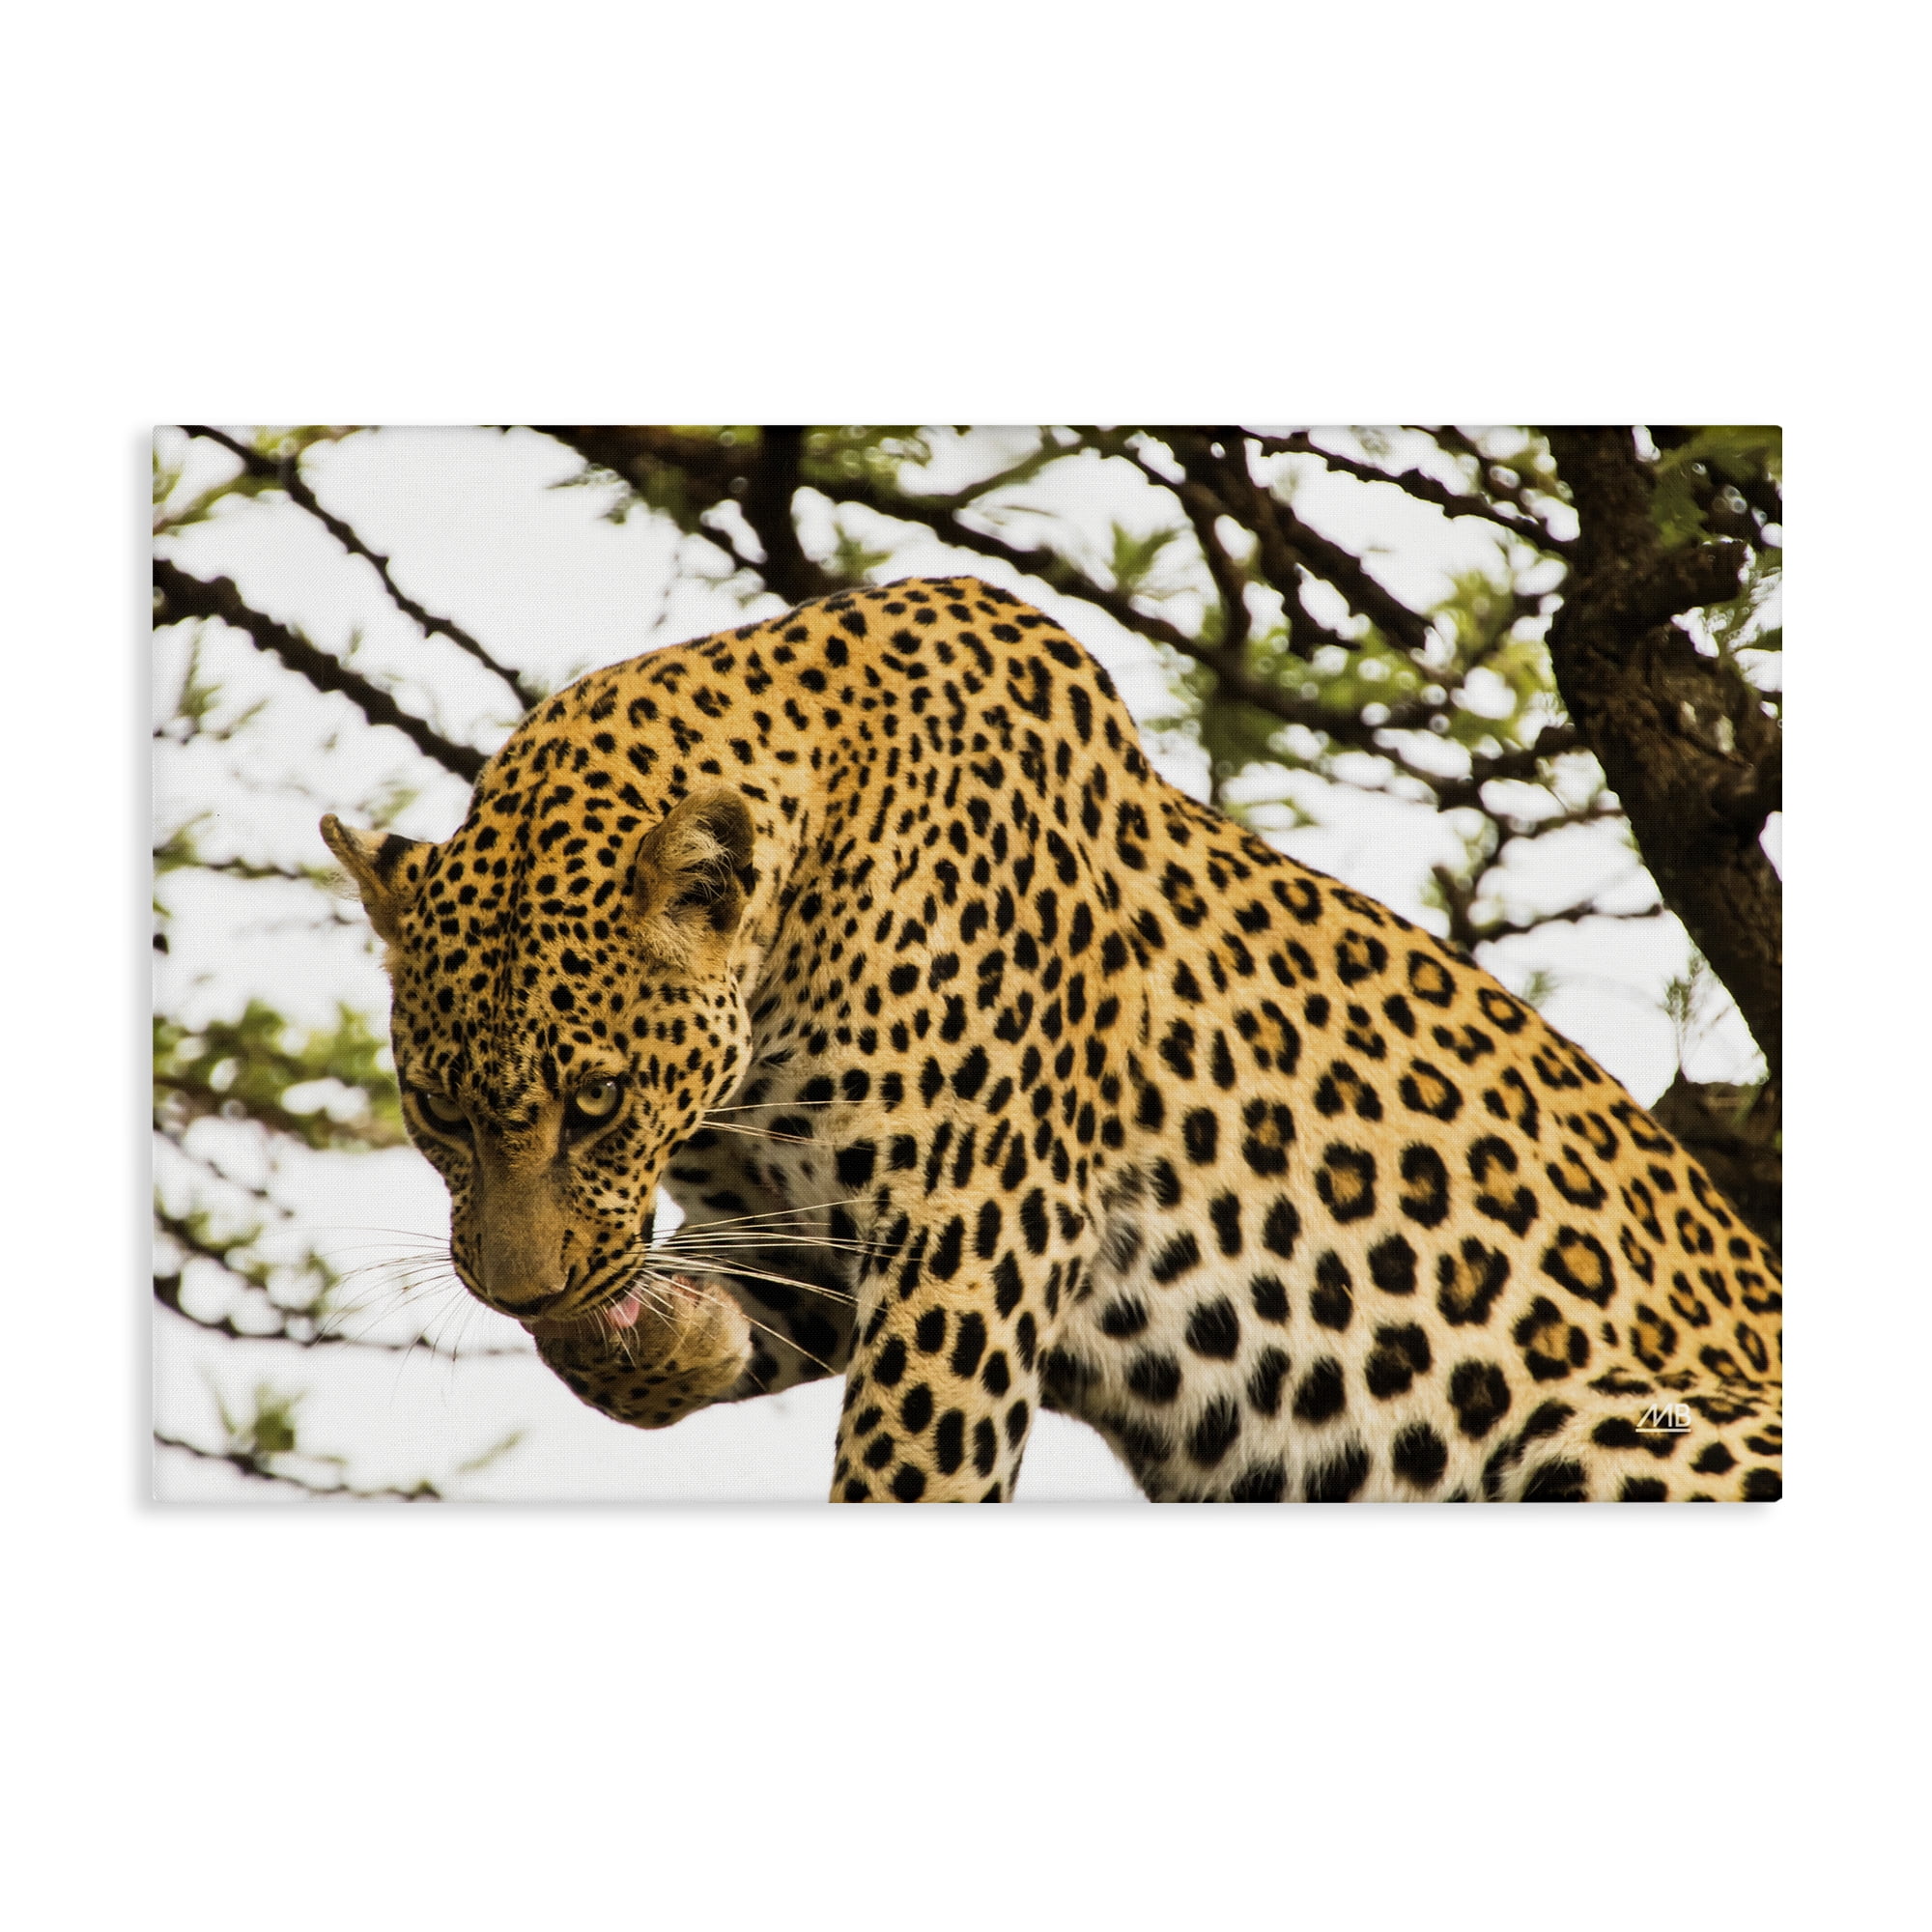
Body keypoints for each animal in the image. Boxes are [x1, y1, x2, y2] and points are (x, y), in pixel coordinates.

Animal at [322, 575, 1782, 1502]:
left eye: (599, 1101)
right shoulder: (808, 1237)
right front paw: (658, 1338)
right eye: (436, 1111)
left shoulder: (973, 1229)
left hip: (1612, 1422)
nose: (518, 1294)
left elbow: (910, 1479)